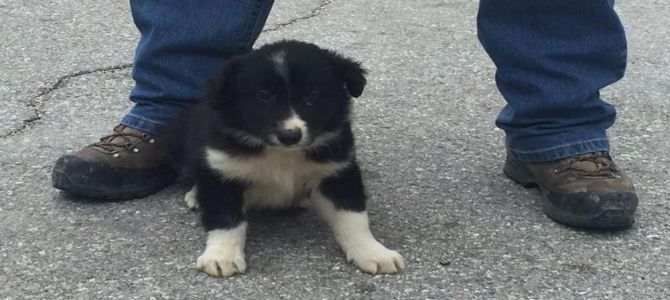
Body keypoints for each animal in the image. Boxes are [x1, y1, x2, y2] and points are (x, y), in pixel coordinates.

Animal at [177, 40, 404, 278]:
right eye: (264, 95)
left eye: (312, 97)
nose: (290, 136)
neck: (282, 154)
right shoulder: (222, 171)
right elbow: (225, 218)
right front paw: (223, 256)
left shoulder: (336, 171)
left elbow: (353, 216)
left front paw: (372, 252)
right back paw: (195, 195)